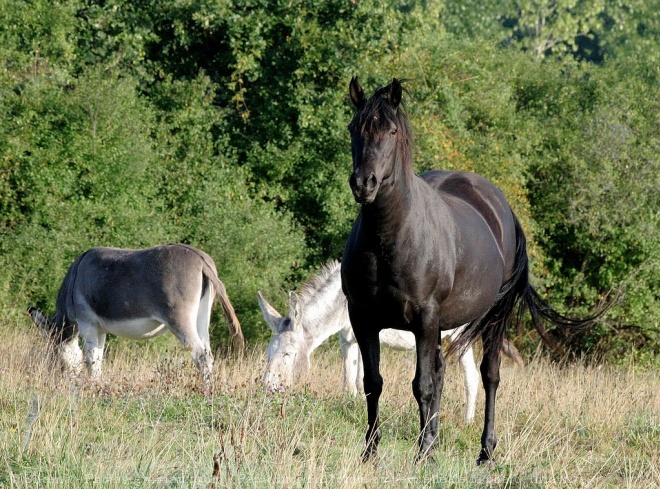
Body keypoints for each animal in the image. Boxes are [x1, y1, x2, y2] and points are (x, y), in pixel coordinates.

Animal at [340, 77, 600, 466]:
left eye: (391, 130)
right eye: (354, 127)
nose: (364, 183)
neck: (391, 237)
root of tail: (500, 205)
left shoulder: (424, 318)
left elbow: (422, 386)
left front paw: (421, 456)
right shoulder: (363, 318)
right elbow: (374, 384)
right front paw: (371, 453)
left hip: (492, 318)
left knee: (488, 376)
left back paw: (485, 451)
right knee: (440, 373)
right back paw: (433, 441)